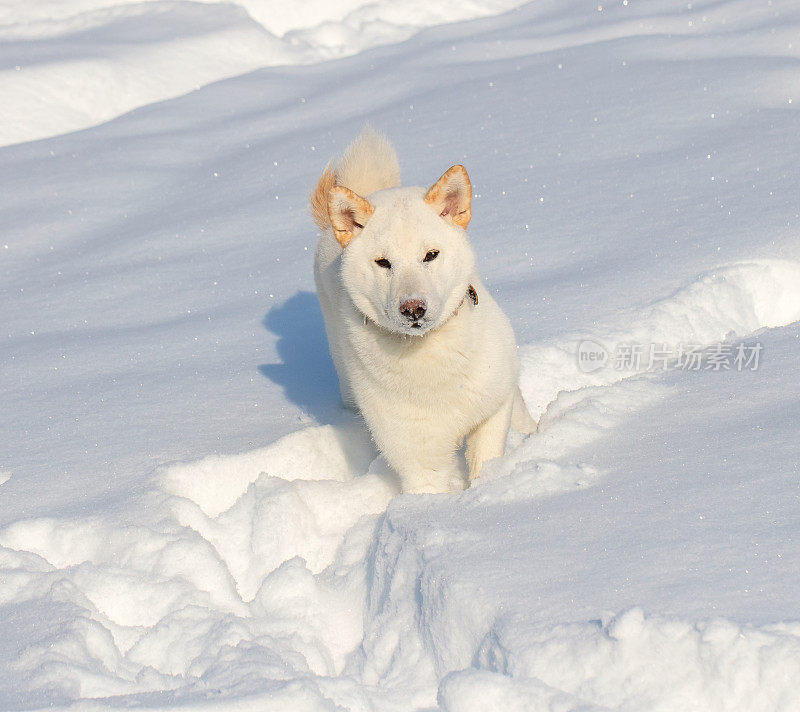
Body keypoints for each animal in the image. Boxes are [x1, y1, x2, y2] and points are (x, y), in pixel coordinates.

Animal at [310, 126, 536, 496]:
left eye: (430, 255)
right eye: (383, 262)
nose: (413, 308)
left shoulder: (490, 411)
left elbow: (486, 460)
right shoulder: (419, 459)